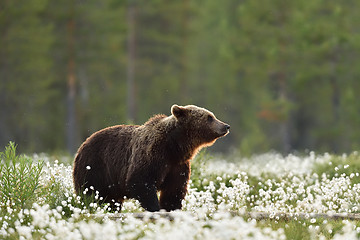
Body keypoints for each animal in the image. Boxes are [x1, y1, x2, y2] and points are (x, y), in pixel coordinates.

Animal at [73, 104, 229, 211]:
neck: (175, 147)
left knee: (111, 200)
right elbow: (141, 181)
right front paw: (155, 208)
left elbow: (174, 189)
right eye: (209, 117)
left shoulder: (178, 165)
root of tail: (83, 144)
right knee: (90, 192)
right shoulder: (152, 155)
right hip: (94, 167)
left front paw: (171, 208)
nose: (226, 126)